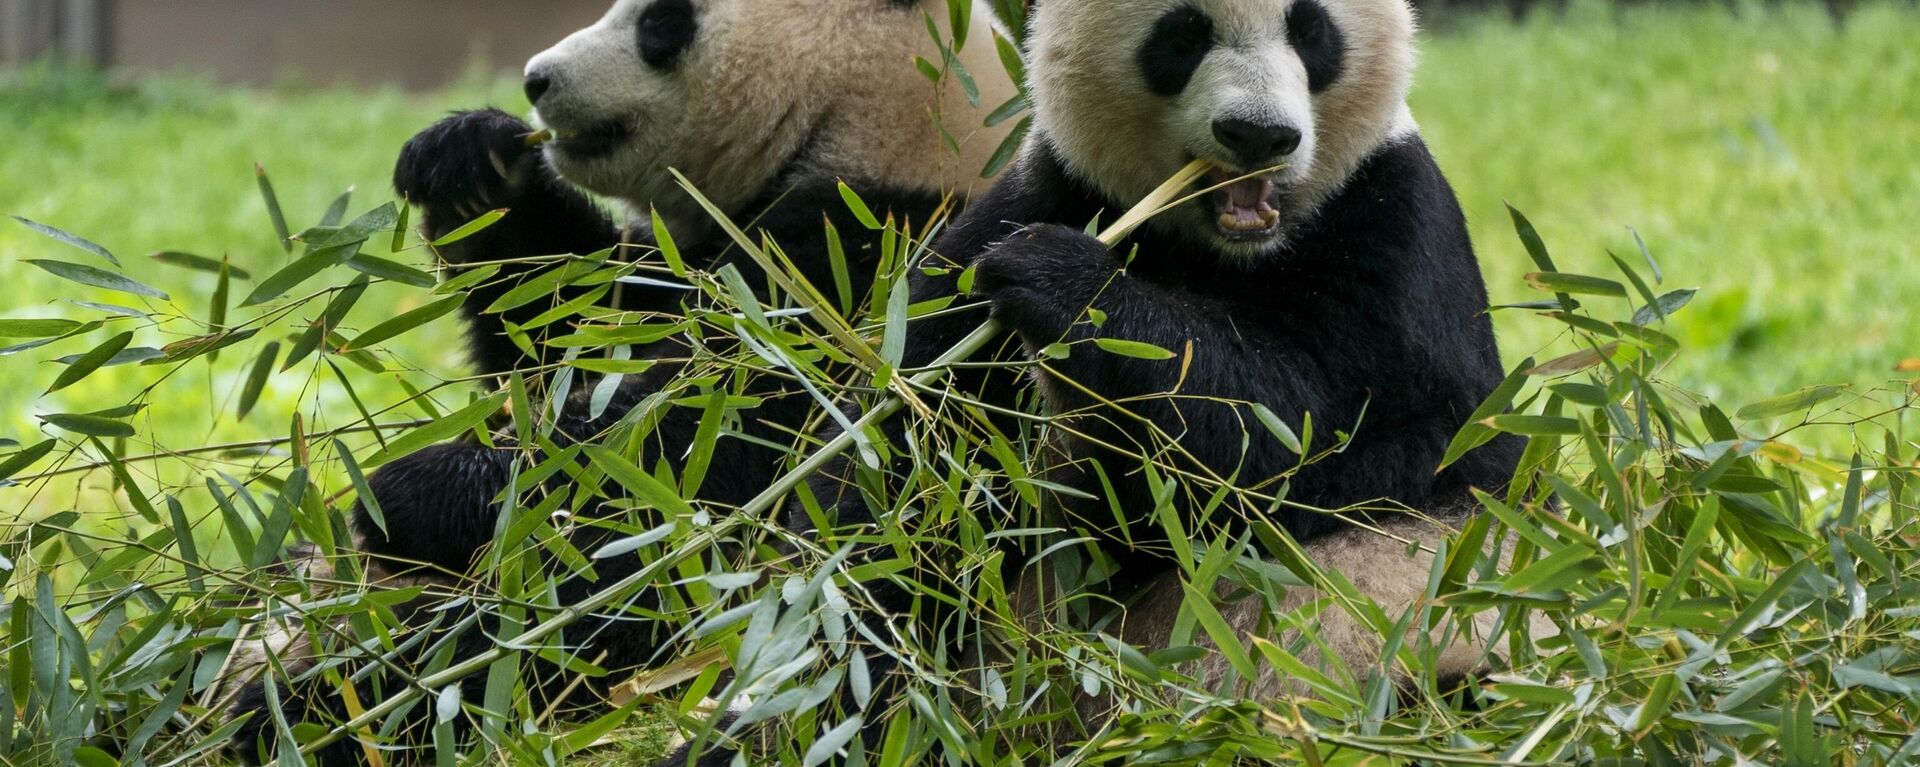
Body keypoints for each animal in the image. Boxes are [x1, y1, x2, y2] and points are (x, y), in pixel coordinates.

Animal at [224, 1, 1021, 767]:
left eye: (659, 24)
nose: (536, 79)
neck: (873, 118)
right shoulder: (669, 261)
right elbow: (557, 335)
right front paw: (471, 161)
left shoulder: (867, 257)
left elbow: (697, 442)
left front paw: (403, 494)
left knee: (533, 629)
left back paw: (304, 709)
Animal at [768, 0, 1528, 757]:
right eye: (1184, 33)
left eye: (1310, 28)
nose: (1258, 135)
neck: (1226, 249)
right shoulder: (1039, 201)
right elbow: (903, 470)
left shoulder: (1397, 239)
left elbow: (1312, 444)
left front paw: (1069, 286)